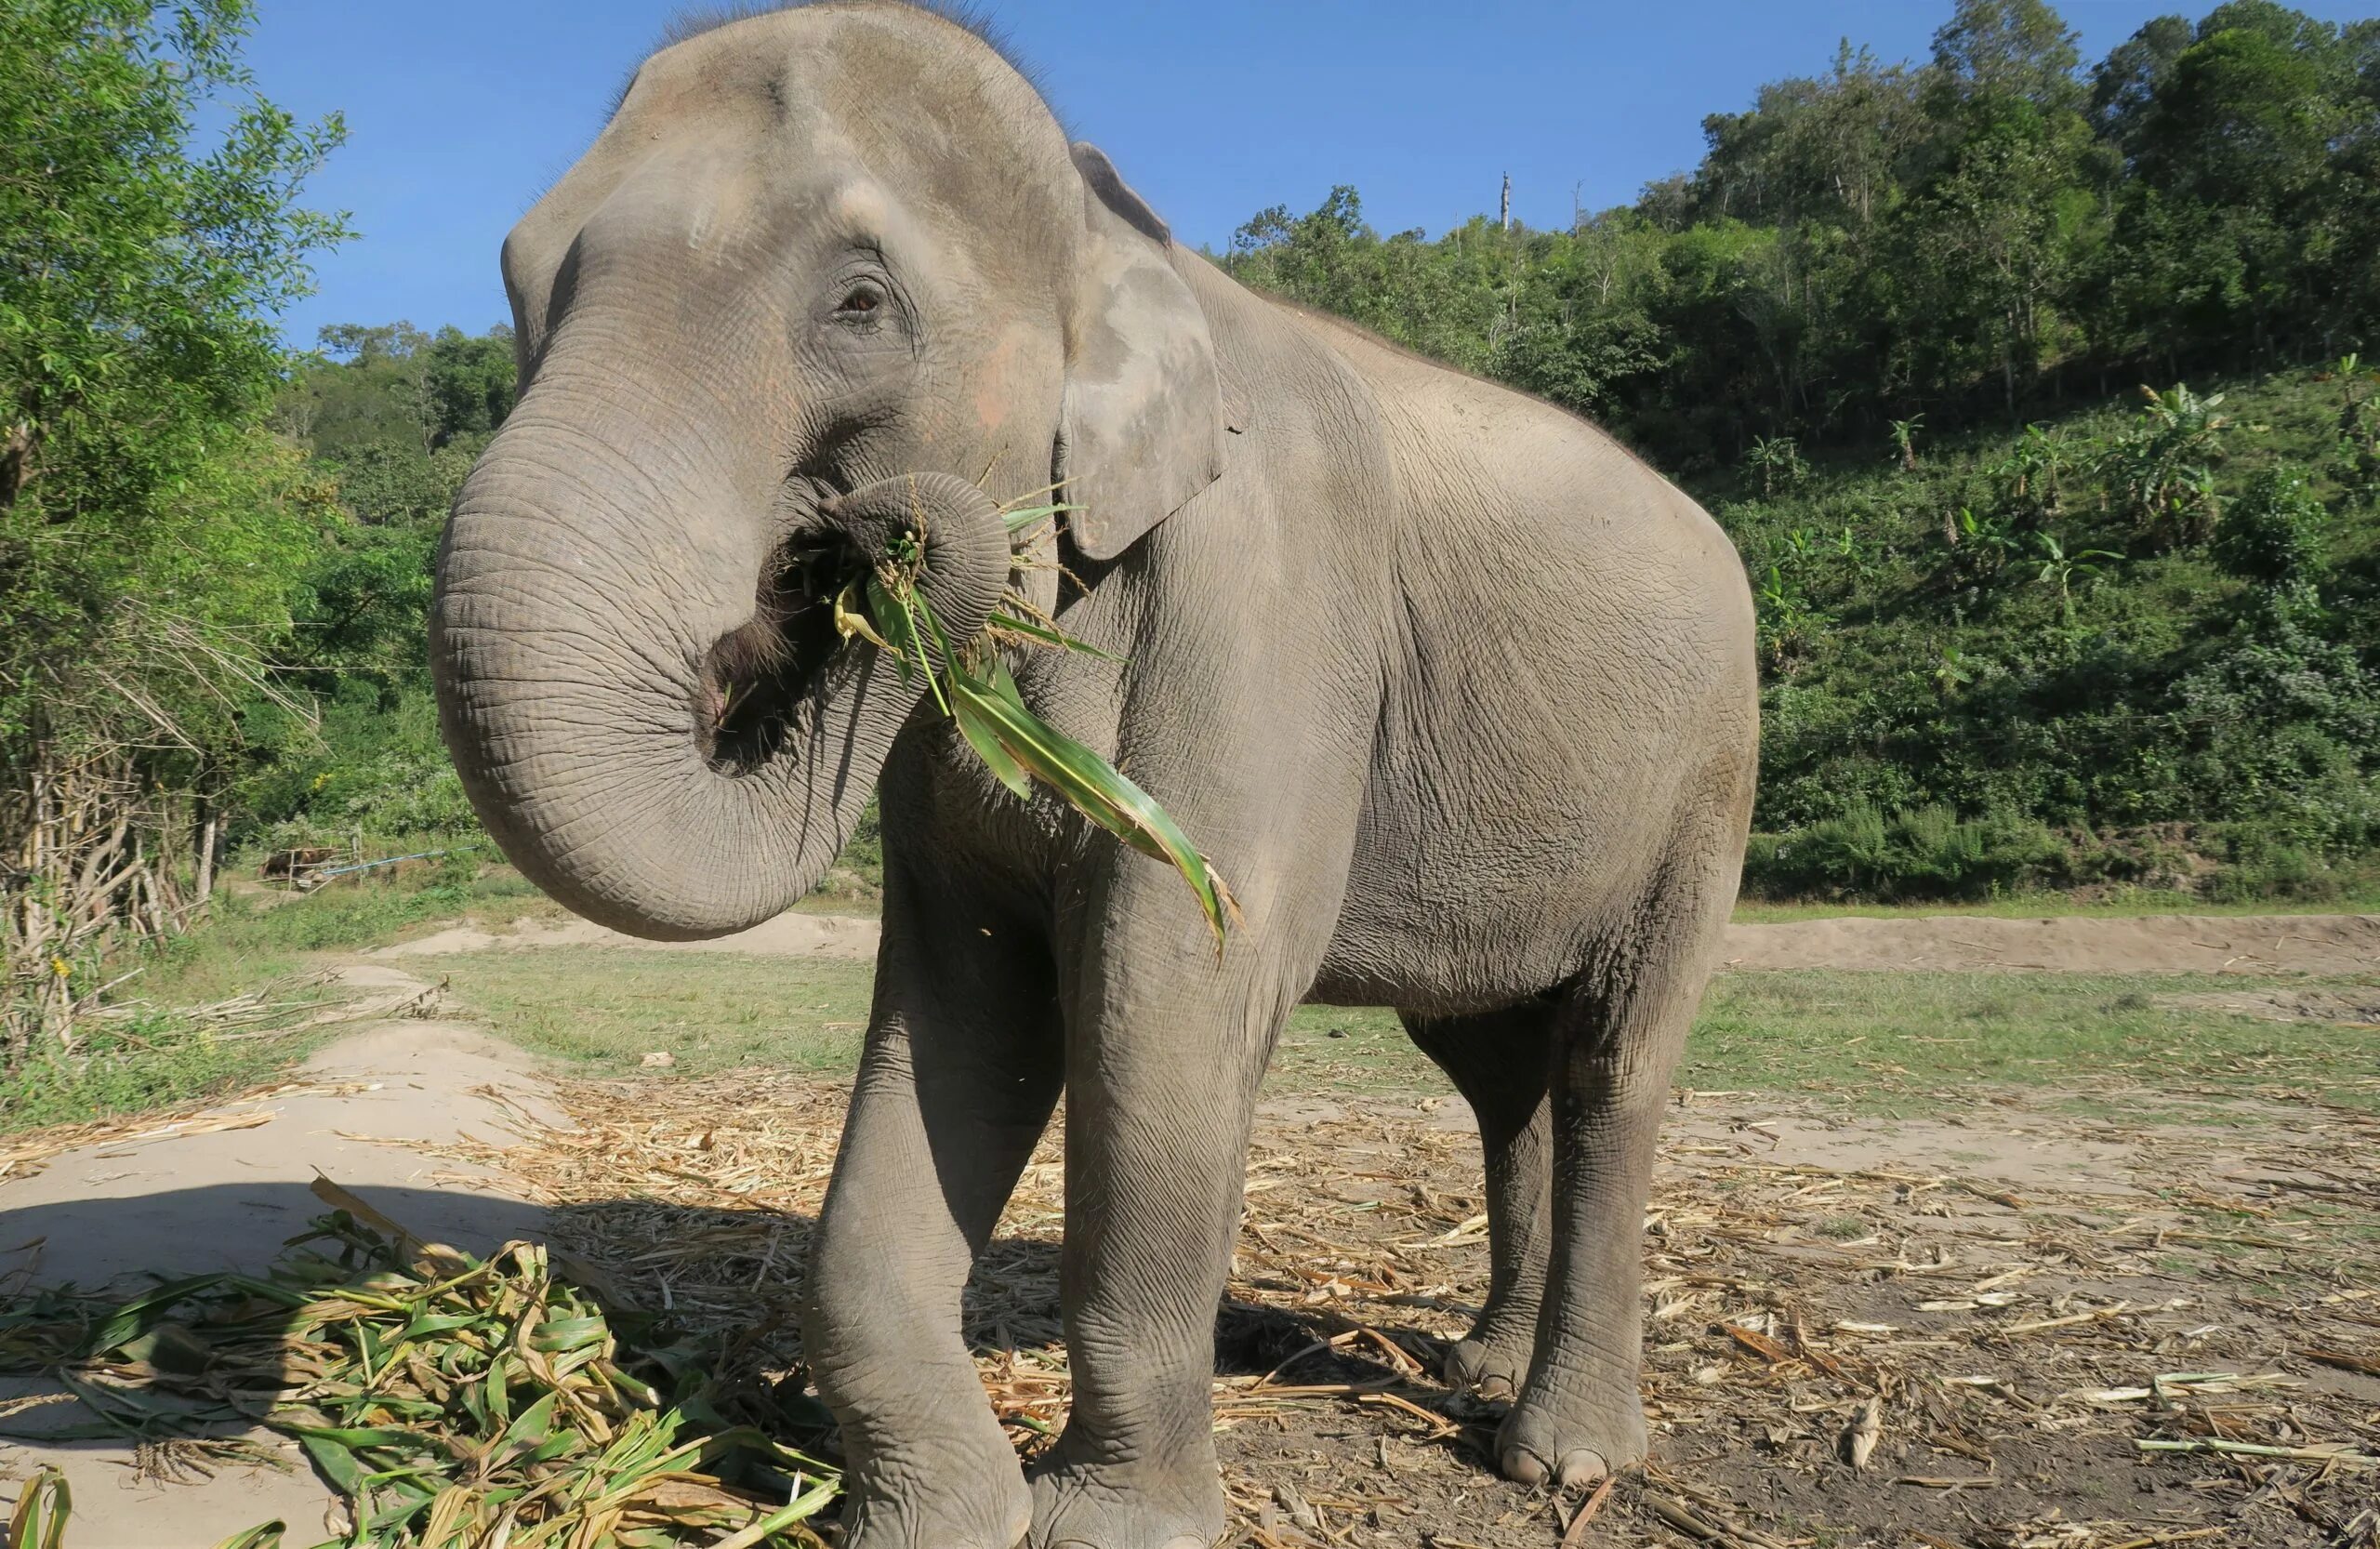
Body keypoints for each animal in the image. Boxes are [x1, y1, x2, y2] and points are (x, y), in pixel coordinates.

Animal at [432, 6, 1770, 1542]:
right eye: (518, 286)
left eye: (861, 306)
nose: (876, 542)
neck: (1112, 227)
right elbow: (967, 999)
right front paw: (941, 1517)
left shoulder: (1266, 601)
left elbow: (1163, 987)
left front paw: (1107, 1522)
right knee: (1502, 1071)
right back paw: (1482, 1363)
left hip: (1709, 780)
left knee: (1614, 1058)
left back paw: (1562, 1457)